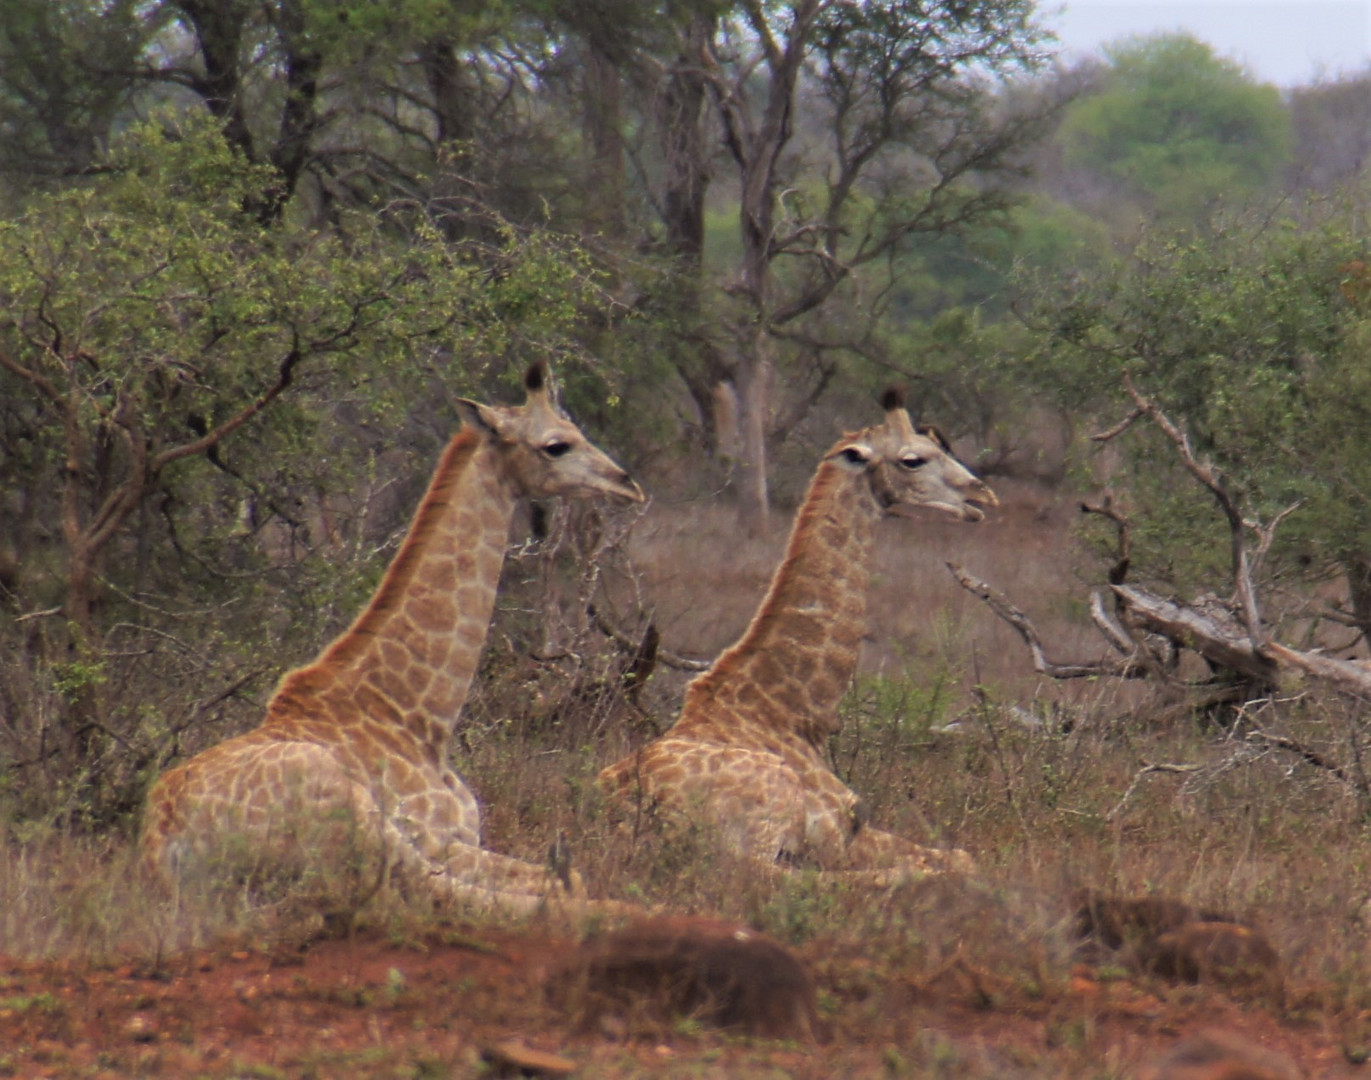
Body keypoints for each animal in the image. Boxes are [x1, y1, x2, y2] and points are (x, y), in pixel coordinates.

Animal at [600, 391, 998, 882]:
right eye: (913, 459)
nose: (981, 495)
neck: (794, 714)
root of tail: (624, 812)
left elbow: (962, 854)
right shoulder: (838, 832)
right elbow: (955, 860)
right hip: (762, 822)